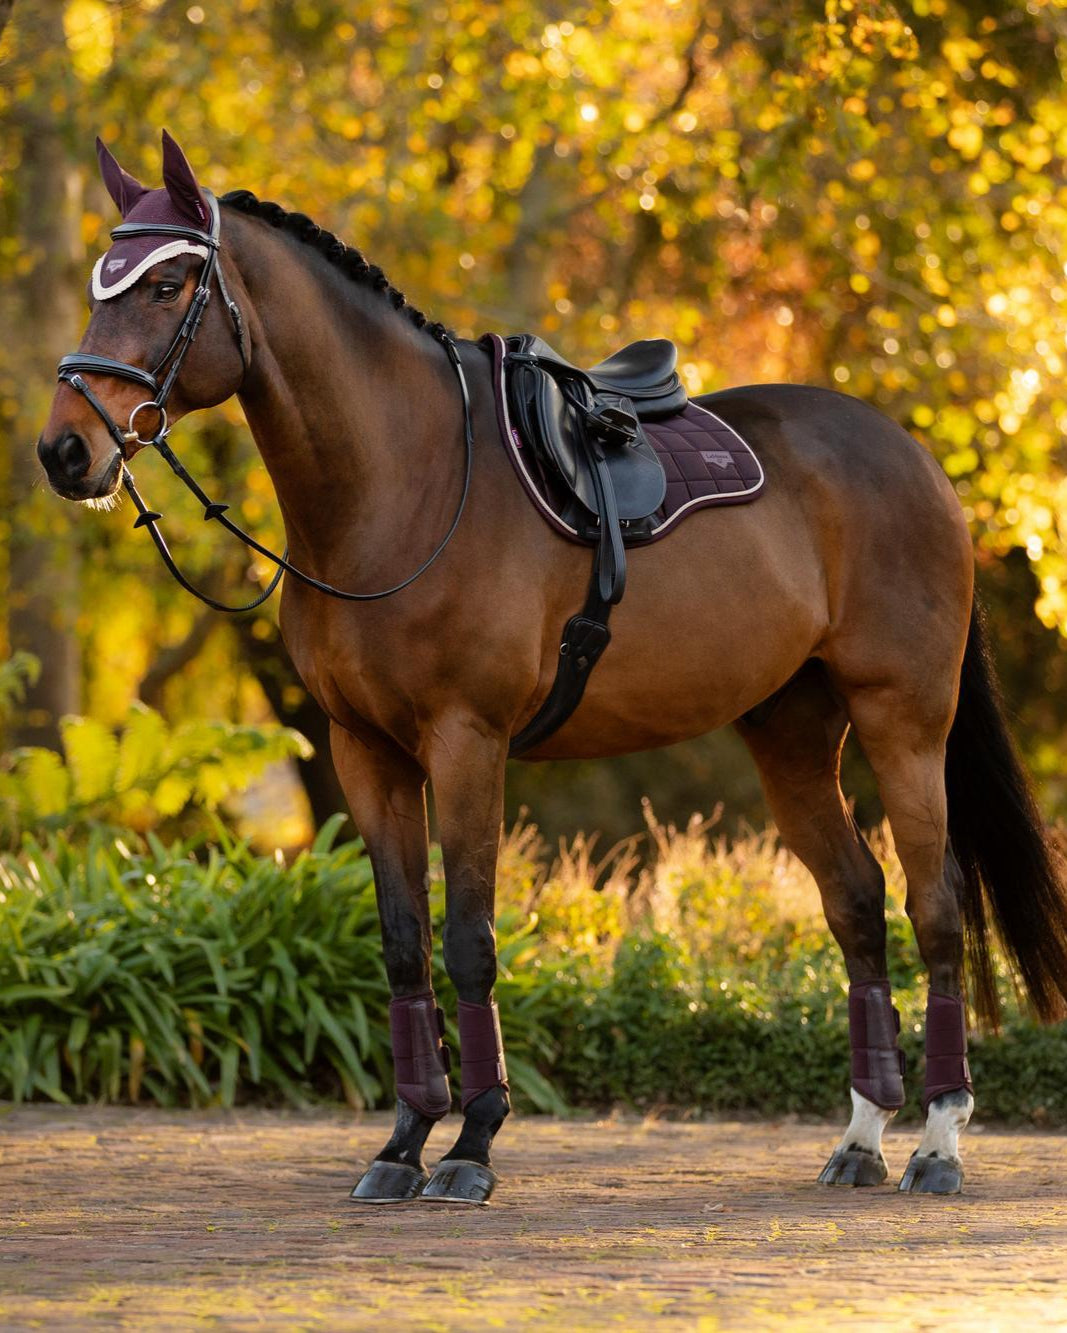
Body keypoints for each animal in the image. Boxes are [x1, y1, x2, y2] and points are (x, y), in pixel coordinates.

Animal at [38, 132, 1067, 1203]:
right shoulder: (364, 750)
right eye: (102, 279)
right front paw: (401, 1143)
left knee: (933, 907)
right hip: (790, 733)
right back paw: (860, 1140)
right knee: (857, 904)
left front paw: (471, 1145)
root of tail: (914, 458)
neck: (403, 485)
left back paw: (937, 1145)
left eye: (168, 284)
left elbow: (469, 940)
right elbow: (402, 945)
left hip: (904, 720)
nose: (65, 450)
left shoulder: (467, 741)